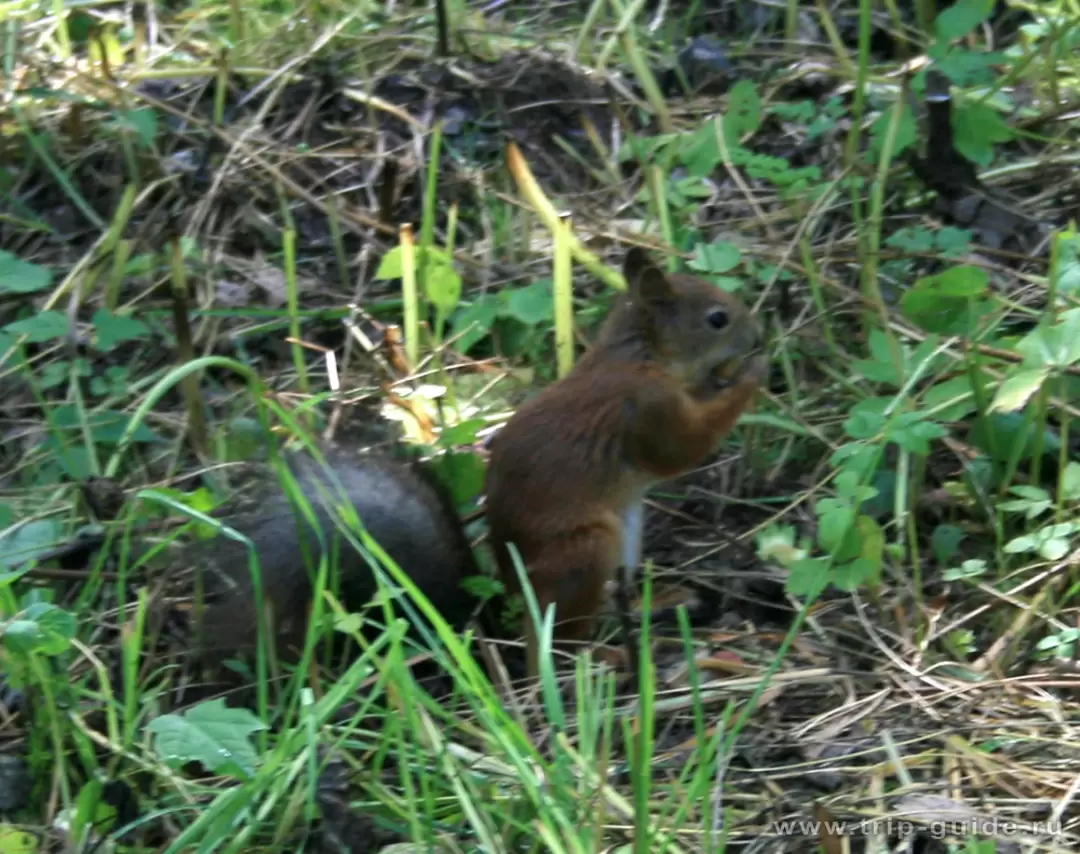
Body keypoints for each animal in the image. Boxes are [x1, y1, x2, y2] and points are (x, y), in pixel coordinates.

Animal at [484, 247, 765, 676]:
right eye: (718, 319)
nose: (759, 337)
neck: (640, 355)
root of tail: (521, 598)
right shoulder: (650, 407)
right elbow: (680, 450)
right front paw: (748, 377)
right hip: (587, 552)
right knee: (566, 640)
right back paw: (605, 656)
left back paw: (661, 603)